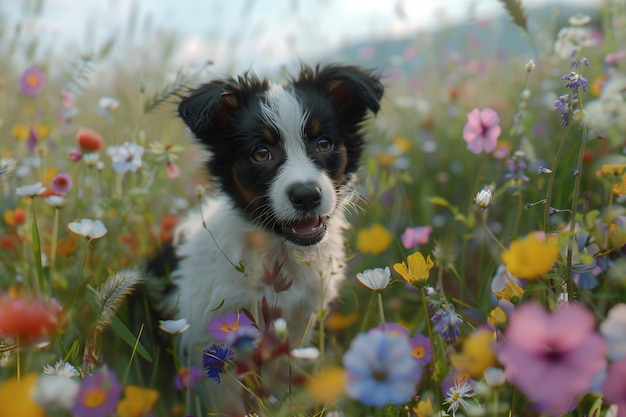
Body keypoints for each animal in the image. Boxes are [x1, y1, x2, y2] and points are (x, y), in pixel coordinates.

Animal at [162, 63, 380, 402]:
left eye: (324, 144)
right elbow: (229, 399)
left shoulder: (299, 326)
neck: (279, 250)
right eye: (261, 153)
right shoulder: (209, 339)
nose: (307, 196)